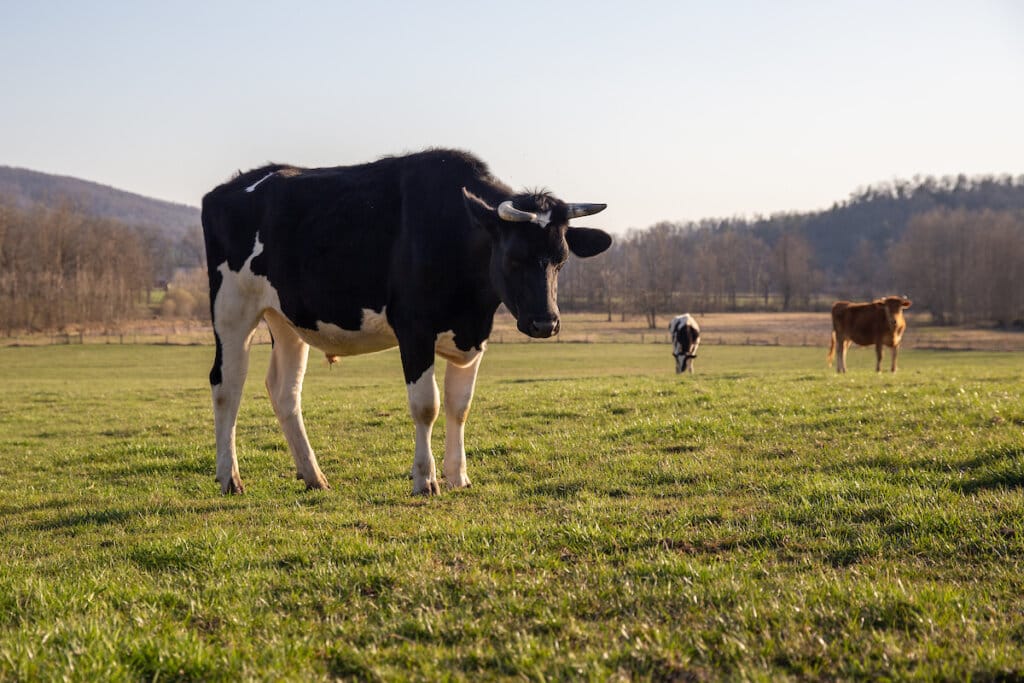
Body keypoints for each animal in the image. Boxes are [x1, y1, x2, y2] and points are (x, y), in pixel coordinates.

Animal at [201, 149, 611, 495]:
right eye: (513, 257)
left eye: (561, 259)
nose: (545, 323)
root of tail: (231, 186)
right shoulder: (414, 329)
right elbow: (426, 405)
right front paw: (425, 480)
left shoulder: (475, 334)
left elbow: (460, 405)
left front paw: (458, 476)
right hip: (231, 309)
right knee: (227, 385)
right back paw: (230, 478)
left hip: (288, 319)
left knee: (284, 390)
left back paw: (313, 475)